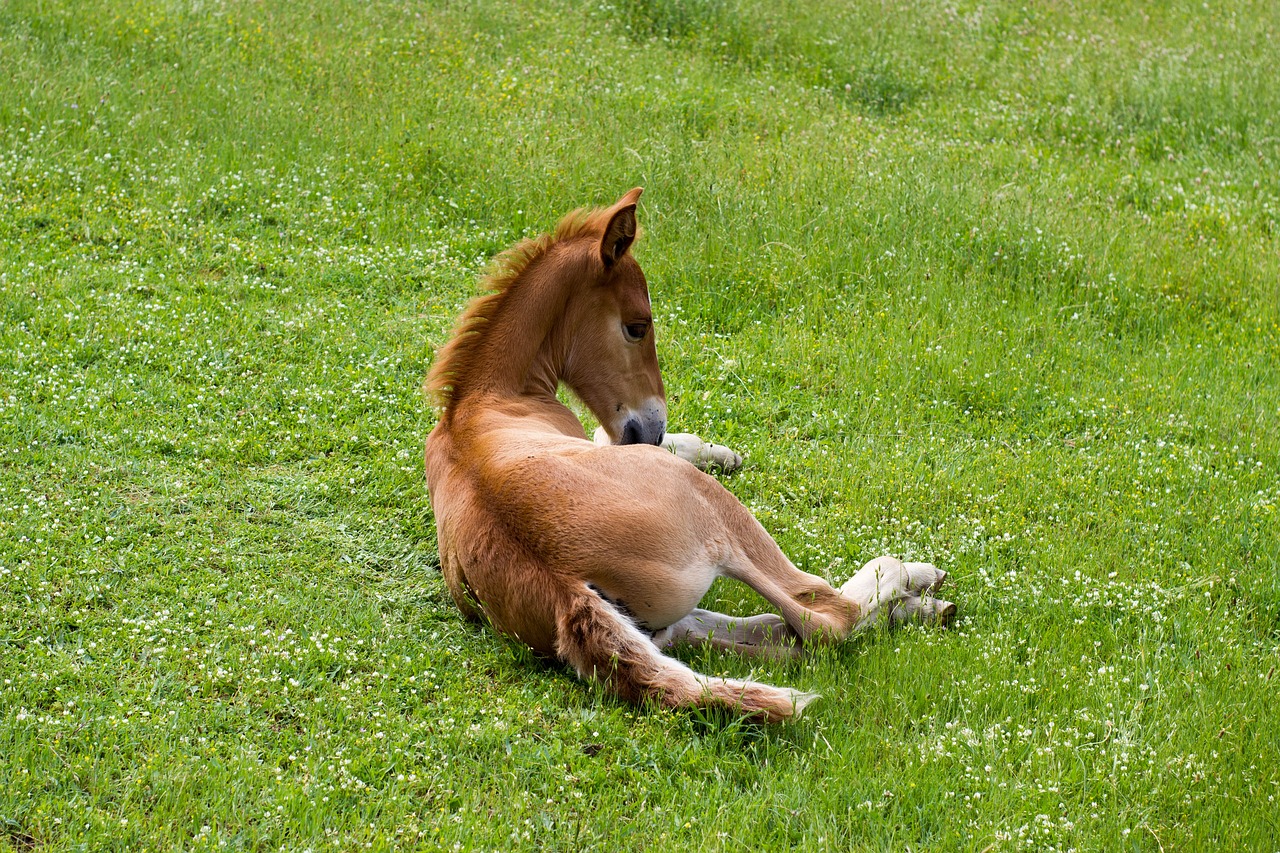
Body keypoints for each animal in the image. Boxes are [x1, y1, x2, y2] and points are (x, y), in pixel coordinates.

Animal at [424, 188, 957, 717]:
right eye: (638, 326)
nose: (652, 427)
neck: (484, 401)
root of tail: (561, 586)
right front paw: (716, 452)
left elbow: (605, 435)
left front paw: (715, 450)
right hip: (717, 512)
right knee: (822, 619)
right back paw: (917, 581)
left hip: (662, 613)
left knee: (737, 634)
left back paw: (906, 610)